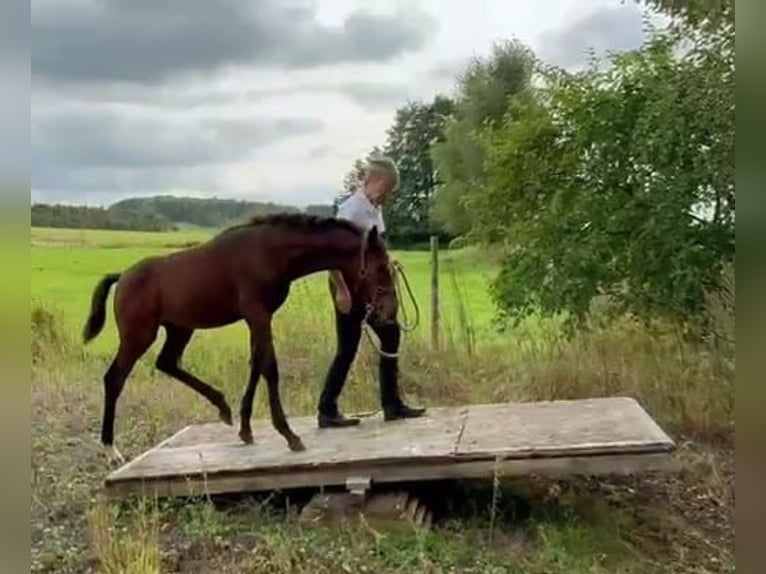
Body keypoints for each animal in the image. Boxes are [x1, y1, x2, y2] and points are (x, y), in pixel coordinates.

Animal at [81, 213, 400, 464]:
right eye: (380, 267)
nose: (388, 312)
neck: (269, 252)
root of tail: (122, 276)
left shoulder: (256, 319)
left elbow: (256, 365)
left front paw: (246, 430)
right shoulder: (258, 315)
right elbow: (270, 367)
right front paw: (290, 435)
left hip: (179, 329)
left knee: (167, 363)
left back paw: (223, 407)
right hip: (139, 335)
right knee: (114, 378)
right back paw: (110, 449)